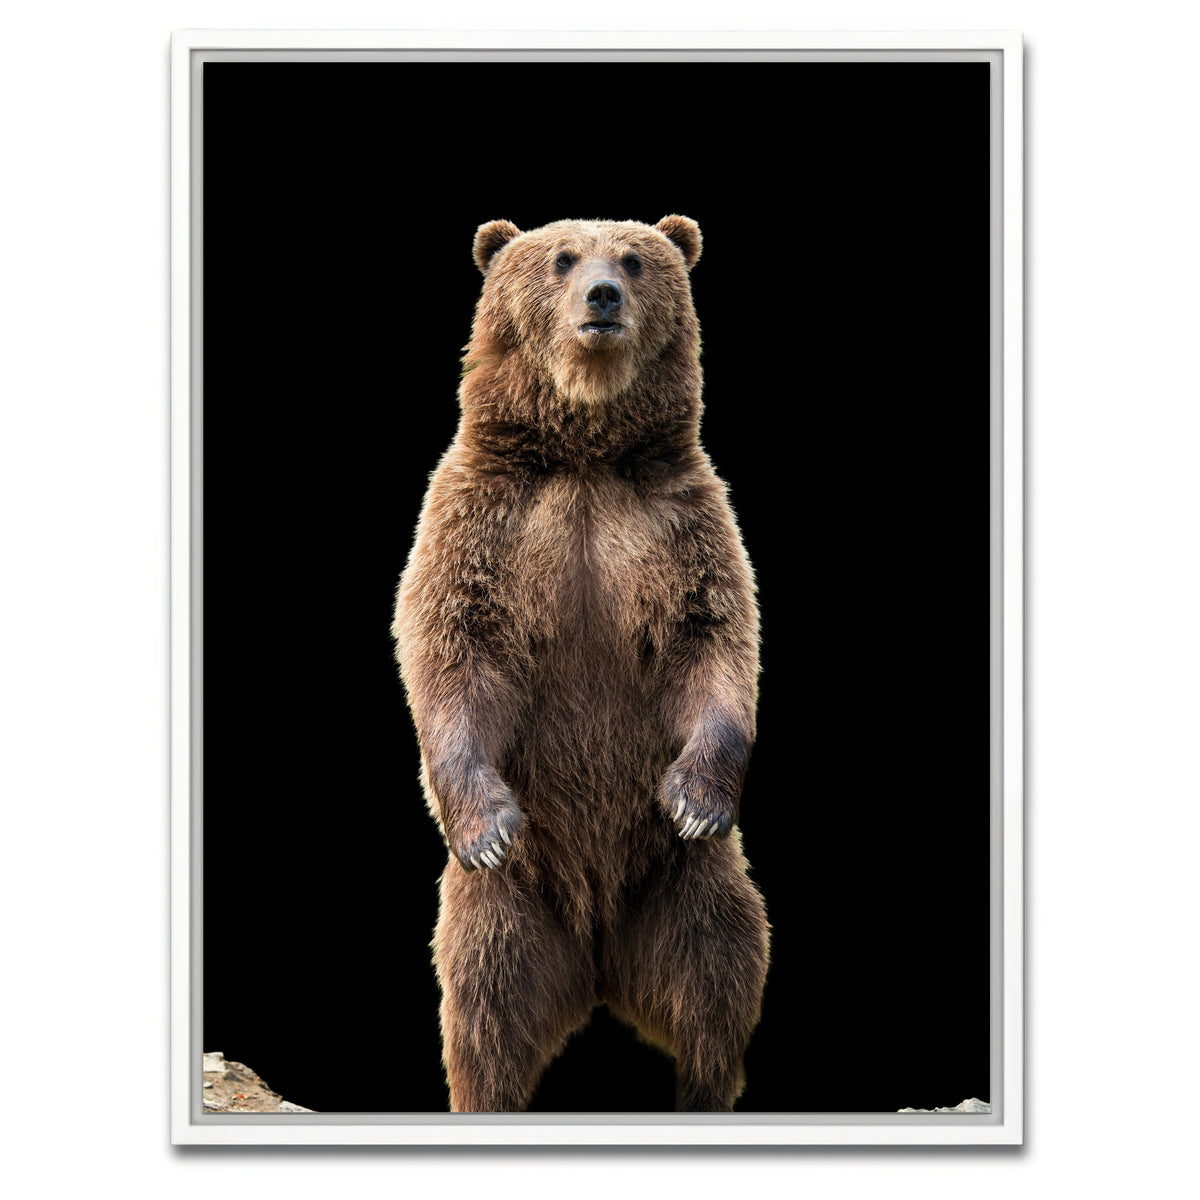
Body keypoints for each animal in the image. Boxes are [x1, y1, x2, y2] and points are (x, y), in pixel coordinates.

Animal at [392, 216, 769, 1113]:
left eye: (633, 259)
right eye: (562, 258)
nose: (602, 296)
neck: (586, 454)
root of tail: (597, 964)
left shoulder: (678, 522)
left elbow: (713, 643)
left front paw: (696, 798)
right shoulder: (484, 519)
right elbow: (454, 650)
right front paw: (488, 824)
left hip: (683, 886)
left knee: (719, 973)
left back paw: (703, 1088)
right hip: (513, 909)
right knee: (484, 1006)